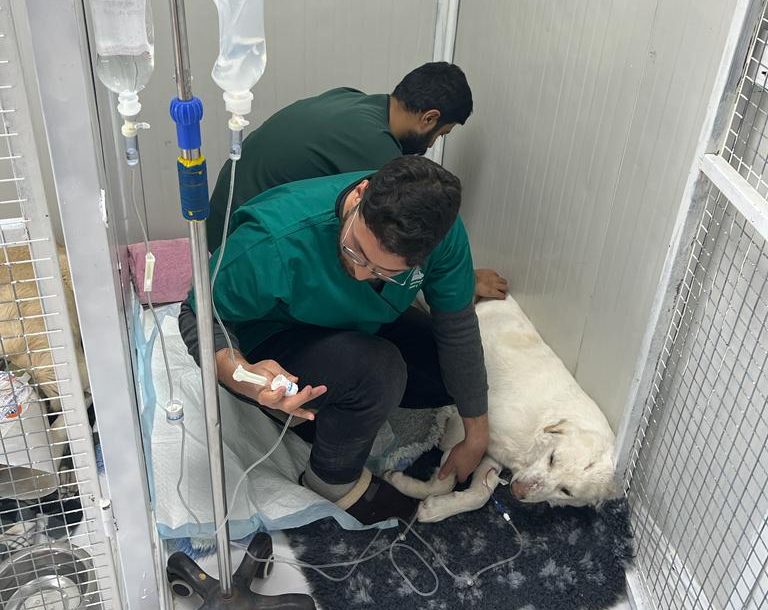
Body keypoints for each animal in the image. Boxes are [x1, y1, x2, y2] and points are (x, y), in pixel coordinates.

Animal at [388, 294, 616, 516]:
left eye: (566, 491)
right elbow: (447, 477)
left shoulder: (493, 454)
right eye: (552, 458)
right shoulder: (471, 427)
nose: (518, 491)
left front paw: (436, 508)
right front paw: (402, 482)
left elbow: (480, 494)